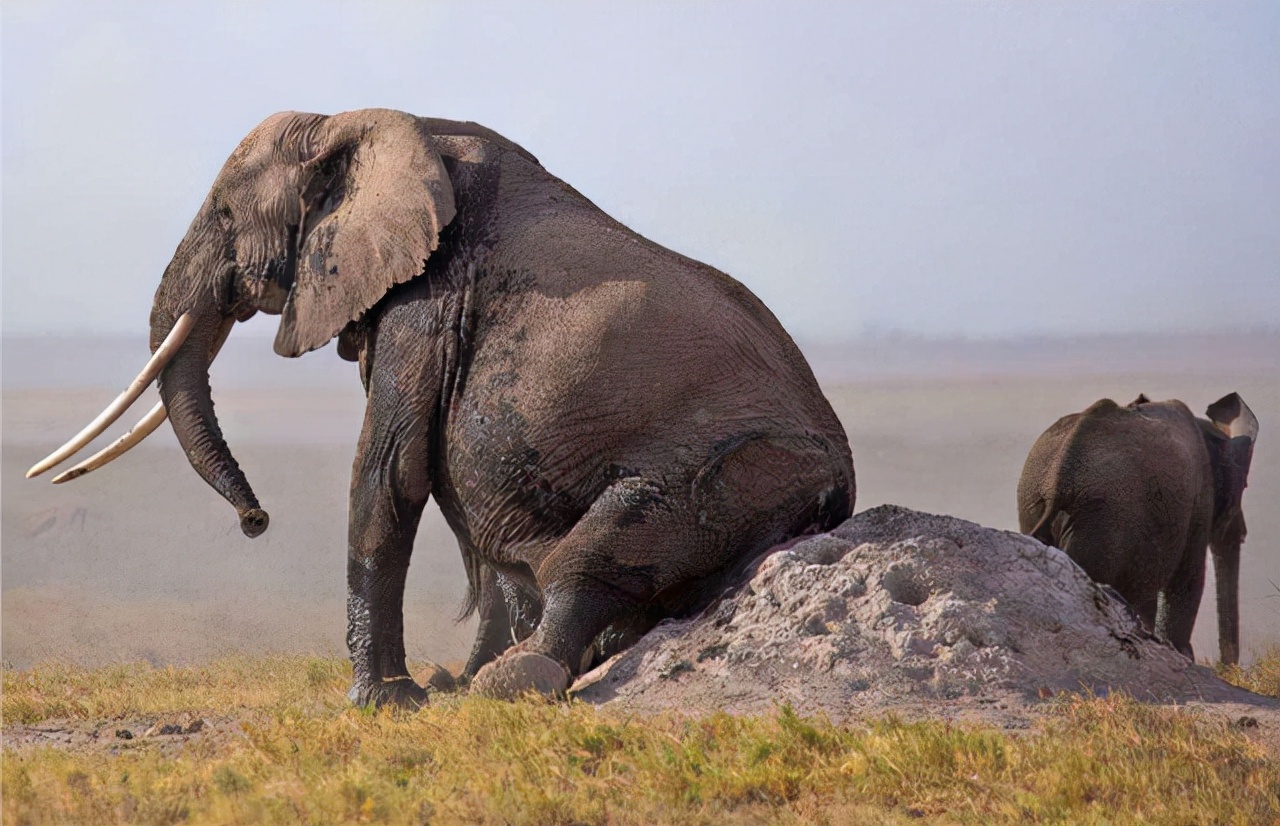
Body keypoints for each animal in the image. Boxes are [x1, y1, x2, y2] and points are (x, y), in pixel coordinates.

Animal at [24, 108, 855, 701]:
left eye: (226, 216)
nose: (256, 521)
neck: (362, 125)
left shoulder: (425, 301)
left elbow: (389, 473)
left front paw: (381, 702)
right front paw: (437, 689)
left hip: (744, 468)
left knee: (601, 549)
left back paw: (515, 681)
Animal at [1018, 391, 1259, 665]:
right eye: (1244, 486)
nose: (1224, 667)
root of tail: (1054, 485)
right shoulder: (1199, 499)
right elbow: (1188, 580)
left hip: (1038, 507)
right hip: (1104, 527)